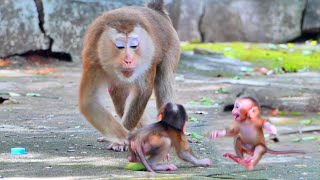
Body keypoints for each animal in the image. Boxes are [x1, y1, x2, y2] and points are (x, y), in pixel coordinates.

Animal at [79, 0, 180, 151]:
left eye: (134, 46)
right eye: (120, 46)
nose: (128, 60)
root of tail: (156, 11)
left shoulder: (147, 57)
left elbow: (142, 92)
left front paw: (123, 139)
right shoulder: (93, 56)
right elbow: (89, 100)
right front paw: (123, 137)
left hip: (172, 45)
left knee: (164, 81)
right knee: (117, 91)